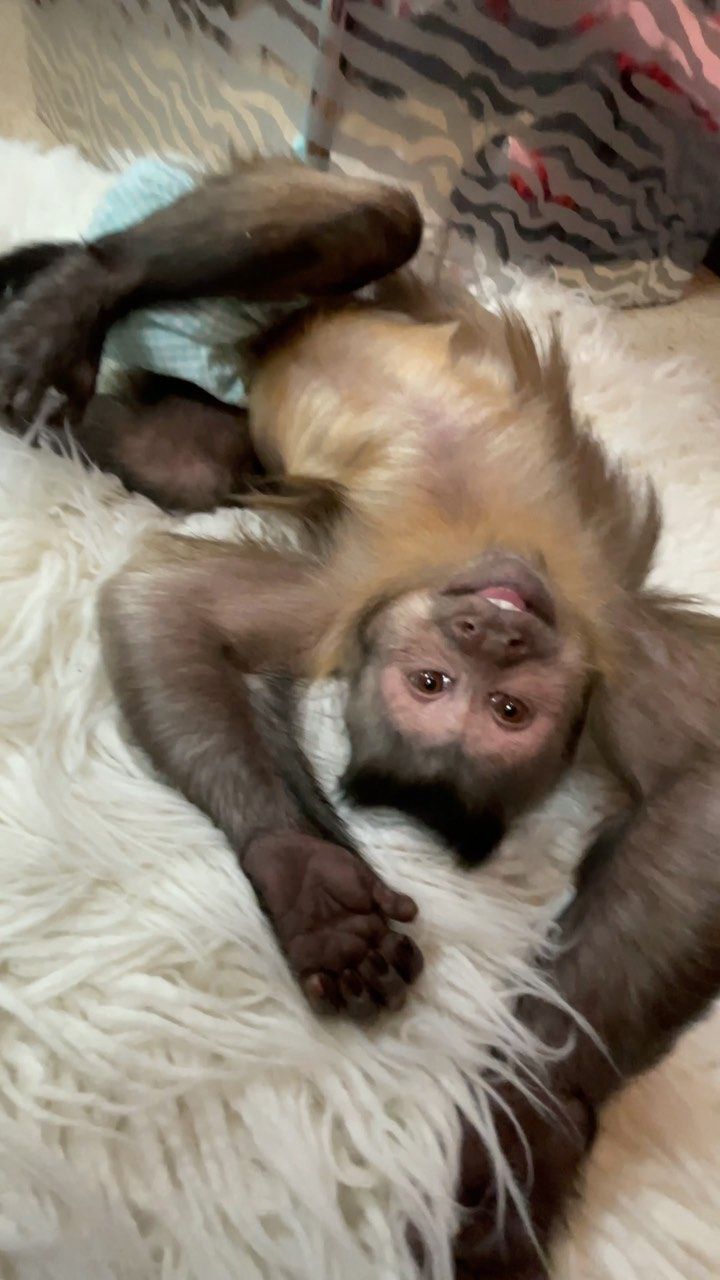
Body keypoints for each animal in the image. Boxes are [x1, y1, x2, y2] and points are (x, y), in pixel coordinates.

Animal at [1, 160, 717, 1280]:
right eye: (430, 681)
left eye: (505, 709)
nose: (492, 628)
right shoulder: (356, 599)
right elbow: (164, 606)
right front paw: (304, 878)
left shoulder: (606, 651)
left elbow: (701, 796)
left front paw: (539, 1118)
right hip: (357, 293)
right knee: (376, 224)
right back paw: (83, 285)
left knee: (196, 460)